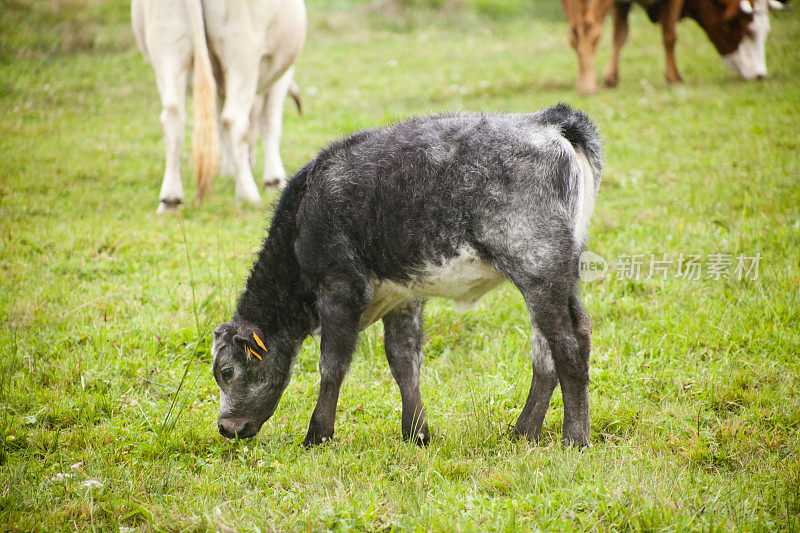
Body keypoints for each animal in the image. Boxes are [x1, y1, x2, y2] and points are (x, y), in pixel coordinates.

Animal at [131, 0, 306, 212]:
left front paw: (229, 170)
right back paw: (248, 193)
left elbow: (217, 123)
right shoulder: (282, 77)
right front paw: (274, 180)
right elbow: (270, 124)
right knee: (234, 120)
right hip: (243, 54)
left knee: (173, 118)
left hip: (168, 50)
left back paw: (170, 199)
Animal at [211, 103, 600, 444]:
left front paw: (317, 435)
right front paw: (416, 433)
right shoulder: (402, 295)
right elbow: (403, 361)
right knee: (550, 349)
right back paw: (524, 431)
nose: (226, 428)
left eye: (226, 372)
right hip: (558, 278)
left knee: (568, 344)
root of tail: (546, 121)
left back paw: (575, 437)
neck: (303, 214)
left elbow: (332, 365)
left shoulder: (339, 289)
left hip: (537, 268)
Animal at [560, 0, 772, 94]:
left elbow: (620, 35)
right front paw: (674, 77)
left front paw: (610, 77)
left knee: (574, 32)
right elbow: (670, 34)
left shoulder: (622, 4)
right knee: (589, 27)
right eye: (749, 32)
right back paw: (587, 86)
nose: (760, 75)